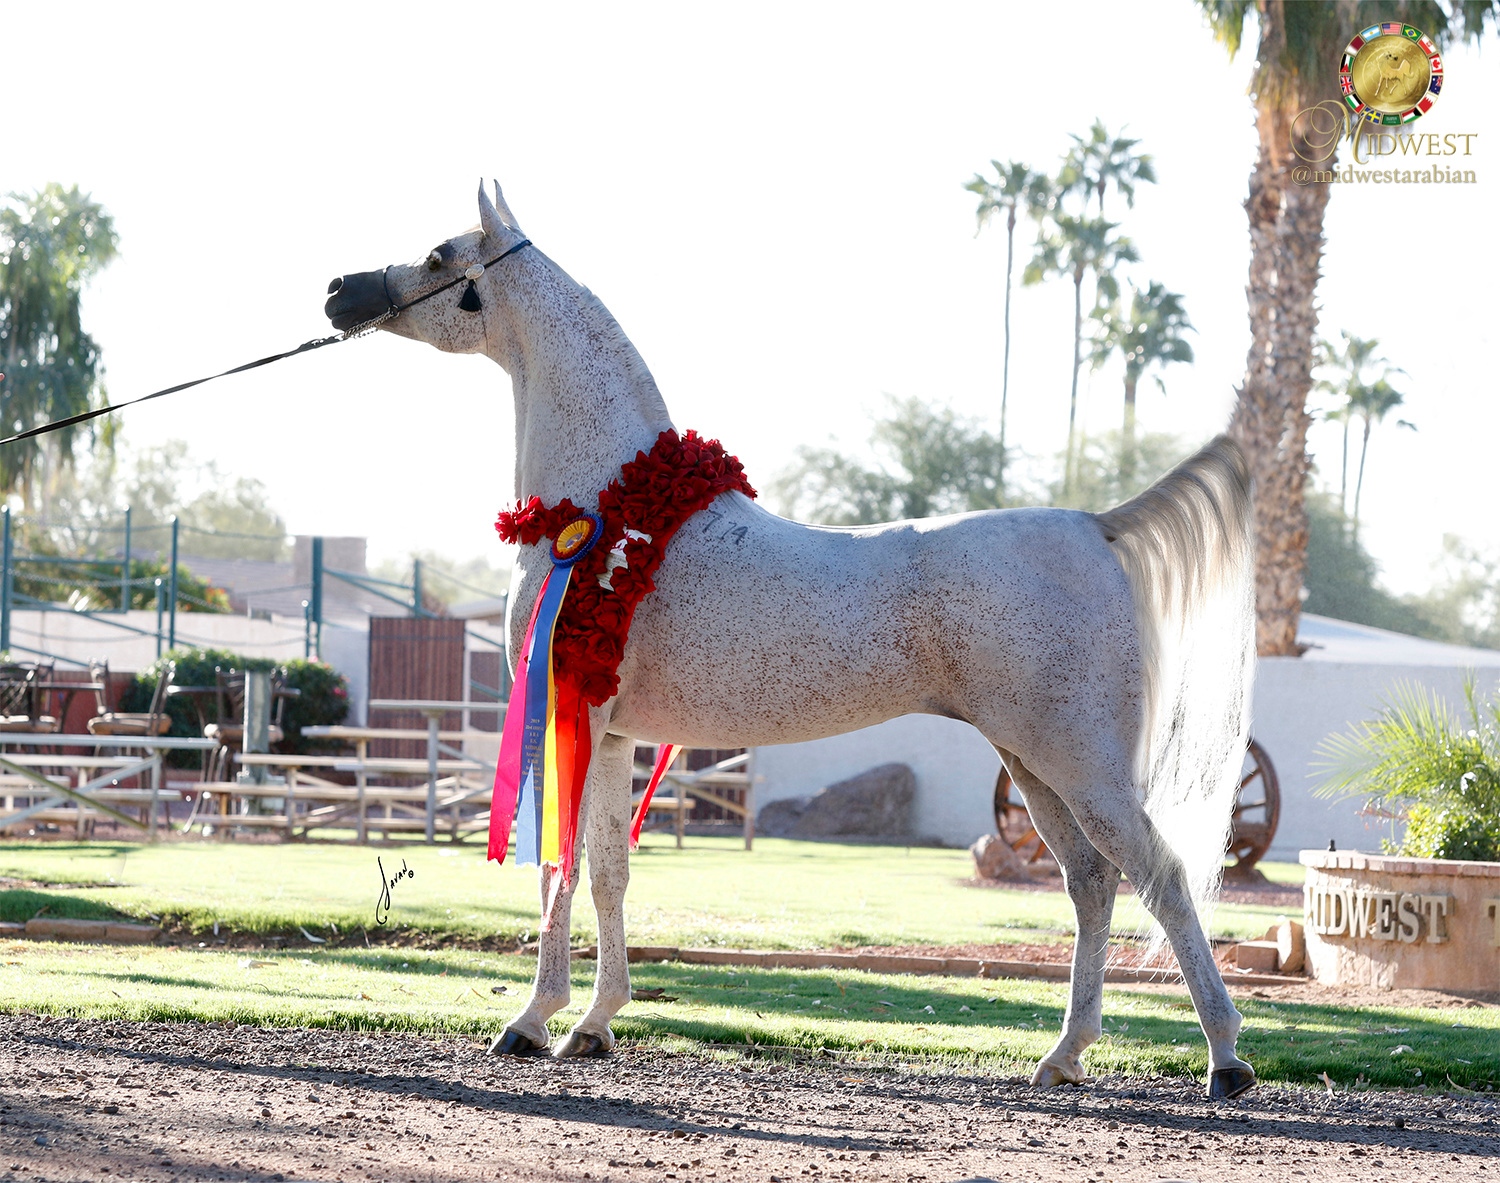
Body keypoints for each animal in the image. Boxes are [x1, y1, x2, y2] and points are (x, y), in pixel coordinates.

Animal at [325, 182, 1259, 1100]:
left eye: (440, 255)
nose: (339, 291)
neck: (609, 507)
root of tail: (1095, 525)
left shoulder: (573, 715)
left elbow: (560, 870)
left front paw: (529, 1022)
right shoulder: (615, 730)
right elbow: (609, 869)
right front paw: (593, 1025)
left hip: (1081, 762)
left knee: (1163, 876)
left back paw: (1226, 1059)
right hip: (1033, 763)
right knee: (1092, 882)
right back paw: (1065, 1053)